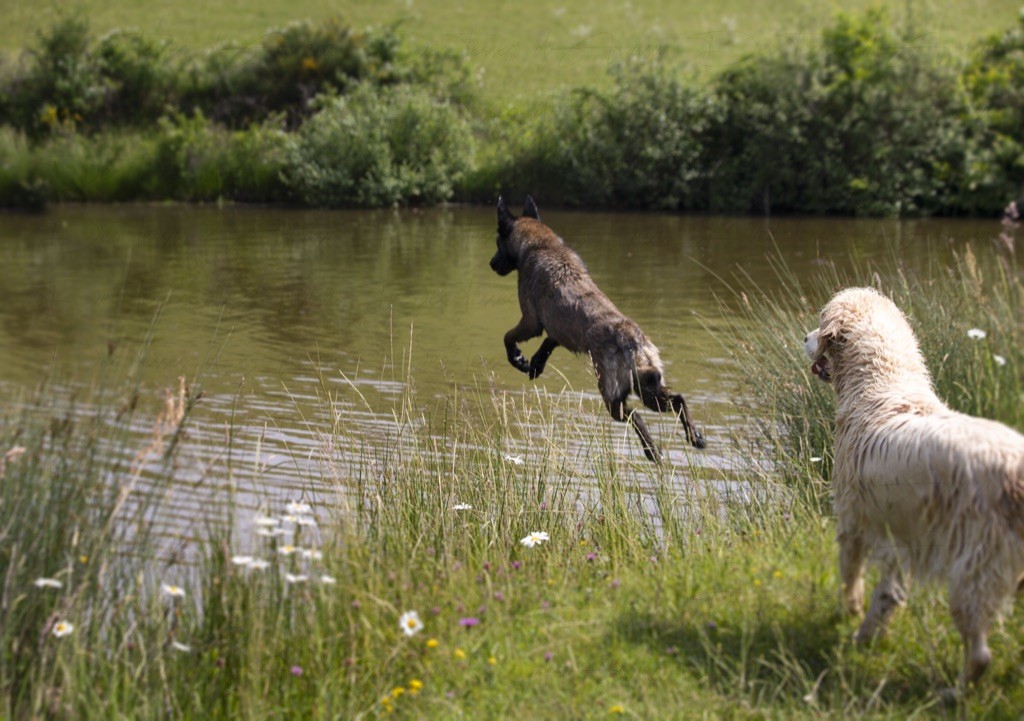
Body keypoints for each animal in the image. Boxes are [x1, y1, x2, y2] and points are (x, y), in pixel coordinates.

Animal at [489, 196, 705, 463]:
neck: (541, 244)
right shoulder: (559, 329)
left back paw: (652, 450)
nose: (492, 264)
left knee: (634, 415)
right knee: (678, 400)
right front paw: (536, 363)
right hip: (649, 390)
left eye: (497, 242)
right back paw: (695, 437)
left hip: (613, 395)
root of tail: (631, 340)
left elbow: (508, 338)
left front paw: (519, 359)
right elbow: (548, 343)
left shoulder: (531, 321)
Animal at [804, 286, 1024, 688]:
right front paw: (865, 633)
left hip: (974, 571)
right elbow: (887, 595)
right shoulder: (900, 533)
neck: (882, 384)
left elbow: (850, 575)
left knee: (980, 655)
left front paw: (848, 616)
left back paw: (954, 692)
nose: (804, 338)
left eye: (821, 320)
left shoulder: (853, 520)